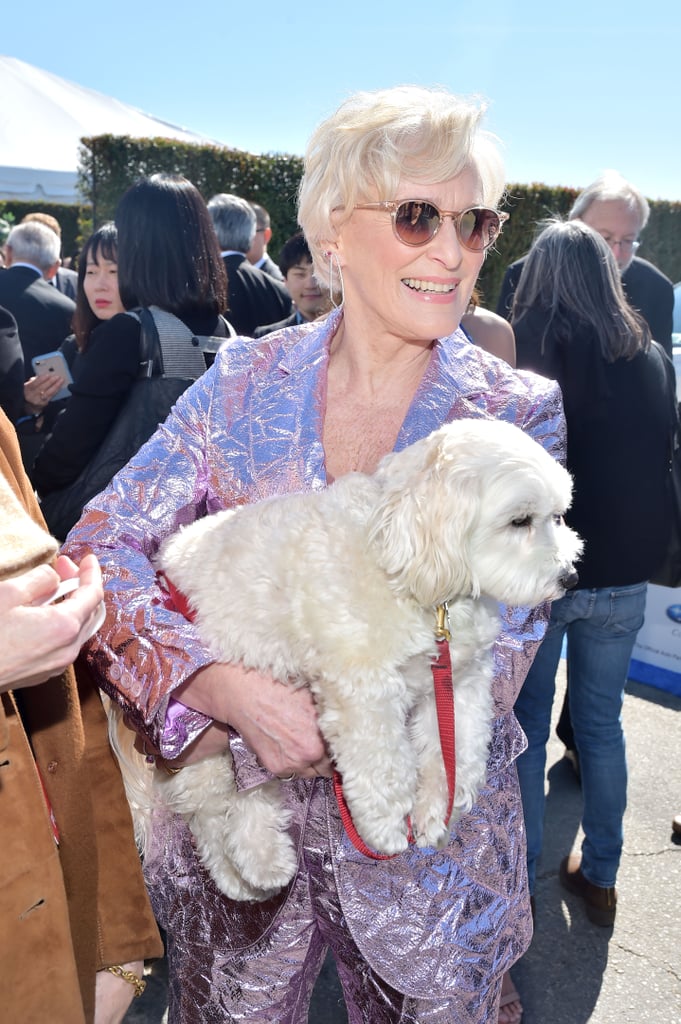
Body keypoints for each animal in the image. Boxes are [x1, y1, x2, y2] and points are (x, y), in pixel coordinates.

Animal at [109, 419, 581, 901]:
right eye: (519, 521)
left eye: (558, 515)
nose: (571, 577)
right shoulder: (363, 688)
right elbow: (382, 762)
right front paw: (386, 827)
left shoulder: (459, 682)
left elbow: (456, 750)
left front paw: (437, 812)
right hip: (213, 734)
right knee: (209, 812)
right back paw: (250, 871)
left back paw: (260, 869)